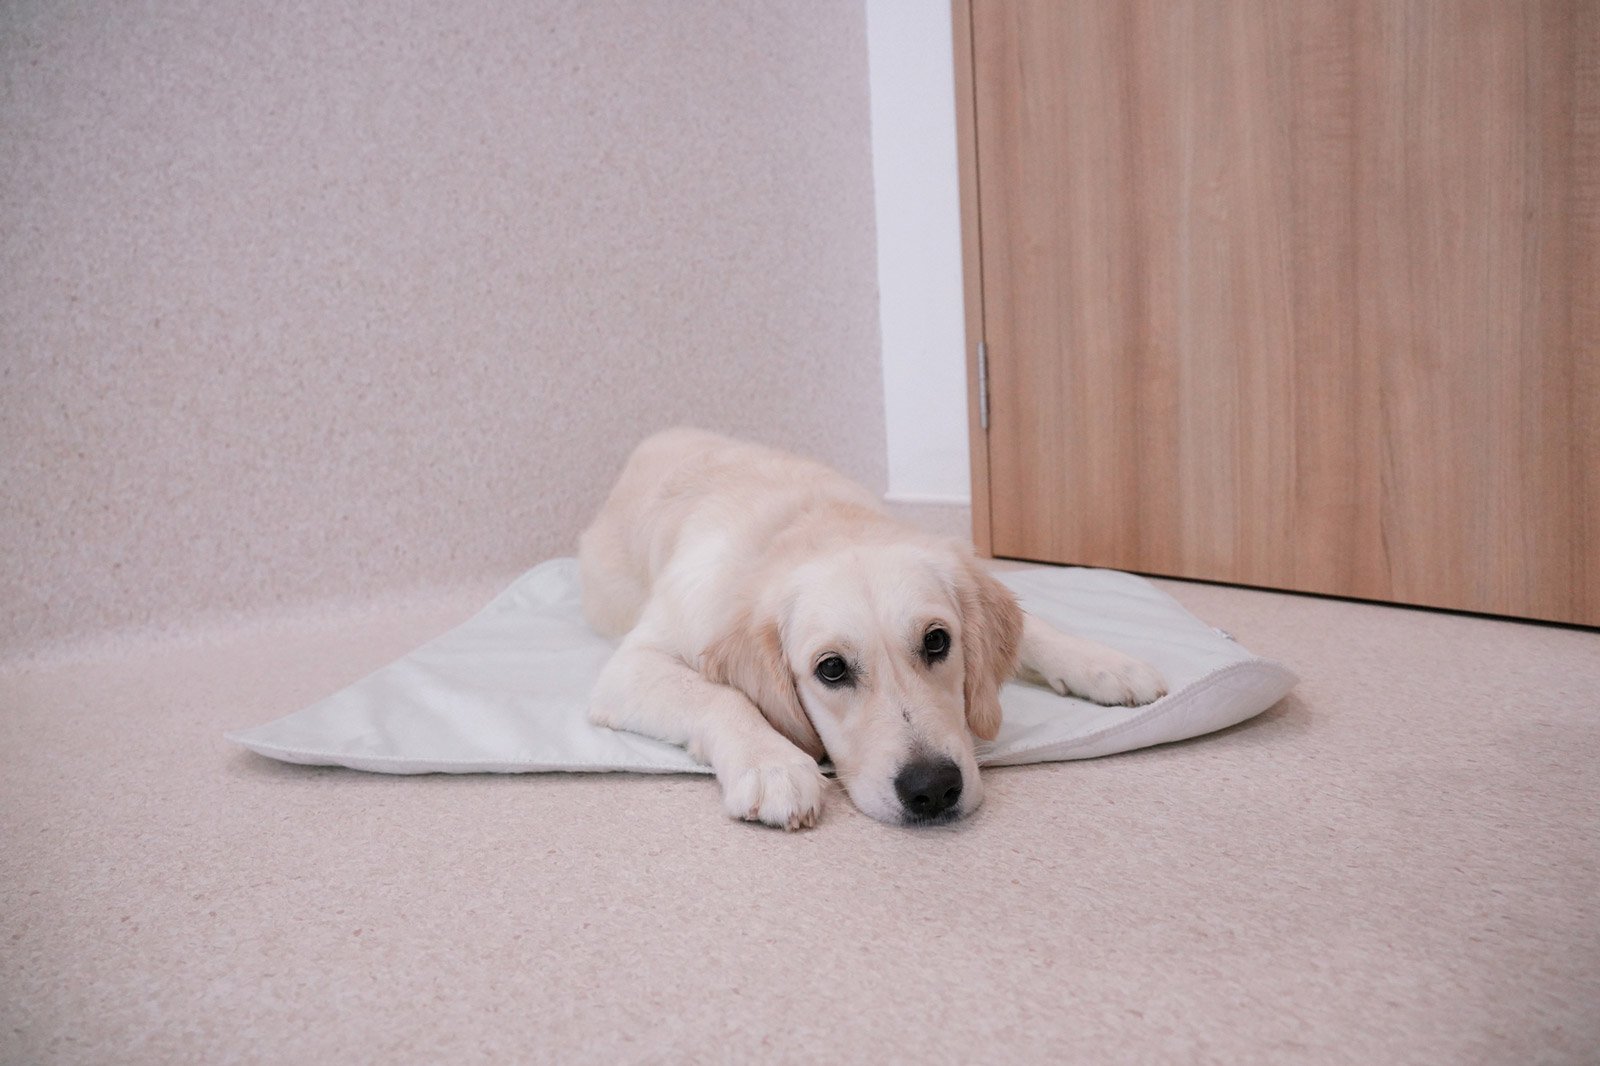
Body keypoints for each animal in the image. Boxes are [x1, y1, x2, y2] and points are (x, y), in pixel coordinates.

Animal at [582, 428, 1171, 825]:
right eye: (832, 669)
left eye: (937, 641)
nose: (933, 789)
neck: (808, 524)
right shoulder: (630, 665)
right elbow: (720, 696)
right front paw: (772, 764)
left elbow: (1035, 626)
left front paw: (1106, 664)